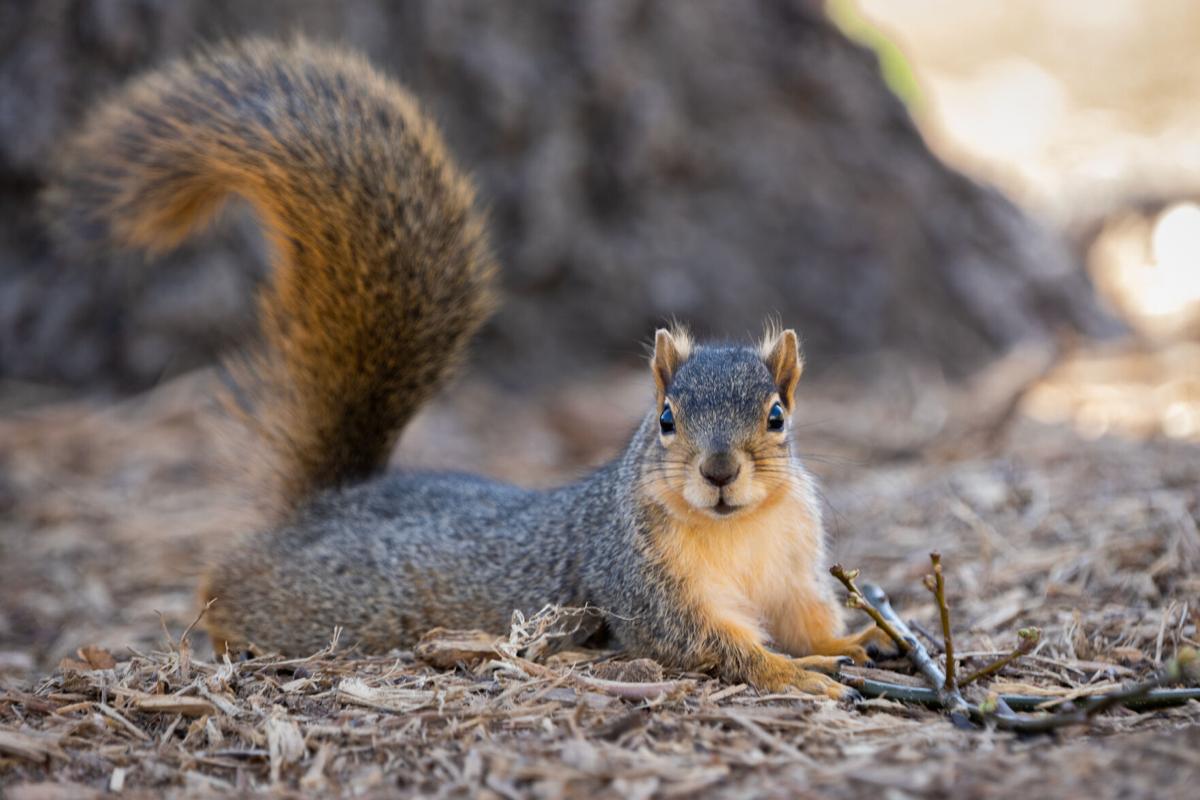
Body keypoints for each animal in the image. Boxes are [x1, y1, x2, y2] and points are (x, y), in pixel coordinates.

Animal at [49, 38, 892, 700]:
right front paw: (796, 675)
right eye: (665, 419)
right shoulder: (643, 589)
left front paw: (856, 643)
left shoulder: (792, 570)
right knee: (221, 596)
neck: (735, 532)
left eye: (777, 416)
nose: (718, 472)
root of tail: (324, 505)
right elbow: (710, 646)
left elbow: (810, 618)